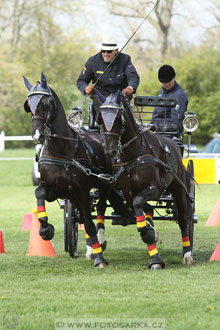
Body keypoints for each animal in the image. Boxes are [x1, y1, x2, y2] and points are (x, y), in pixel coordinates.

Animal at [23, 73, 119, 268]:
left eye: (47, 102)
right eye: (28, 105)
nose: (37, 135)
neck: (62, 150)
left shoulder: (82, 192)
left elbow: (89, 224)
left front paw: (99, 258)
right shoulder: (54, 189)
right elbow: (39, 193)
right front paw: (45, 229)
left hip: (103, 186)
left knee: (99, 212)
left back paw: (99, 243)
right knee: (81, 215)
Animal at [96, 89, 194, 270]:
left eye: (118, 118)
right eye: (100, 117)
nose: (109, 149)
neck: (134, 154)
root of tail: (174, 143)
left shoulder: (154, 188)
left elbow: (139, 205)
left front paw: (151, 244)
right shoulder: (128, 192)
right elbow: (137, 206)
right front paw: (151, 238)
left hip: (178, 189)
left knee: (184, 218)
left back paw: (187, 254)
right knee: (147, 208)